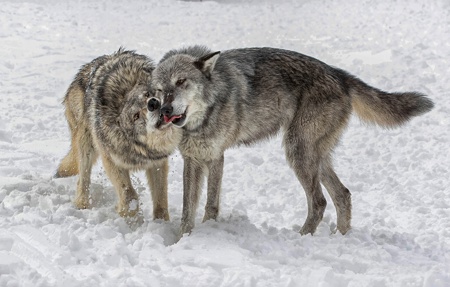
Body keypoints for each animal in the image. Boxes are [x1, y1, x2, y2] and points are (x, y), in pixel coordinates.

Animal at [55, 49, 181, 220]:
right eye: (136, 116)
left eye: (148, 94)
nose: (153, 103)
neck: (141, 148)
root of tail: (82, 72)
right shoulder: (112, 161)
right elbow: (129, 196)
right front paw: (129, 216)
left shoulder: (157, 163)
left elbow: (160, 199)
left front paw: (162, 224)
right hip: (87, 145)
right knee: (83, 179)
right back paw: (82, 205)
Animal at [153, 46, 434, 237]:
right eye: (159, 89)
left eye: (181, 82)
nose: (164, 109)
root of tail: (339, 75)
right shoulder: (193, 159)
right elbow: (188, 209)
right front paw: (181, 239)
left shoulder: (215, 157)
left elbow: (210, 204)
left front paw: (207, 231)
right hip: (314, 157)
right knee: (343, 194)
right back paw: (339, 237)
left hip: (298, 152)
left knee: (319, 202)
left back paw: (302, 238)